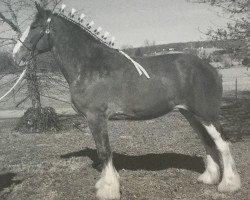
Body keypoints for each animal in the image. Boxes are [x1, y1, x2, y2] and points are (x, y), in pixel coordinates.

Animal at [12, 2, 241, 199]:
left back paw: (228, 184)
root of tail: (211, 68)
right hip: (190, 114)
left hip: (206, 114)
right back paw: (208, 178)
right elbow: (104, 151)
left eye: (34, 26)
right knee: (207, 142)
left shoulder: (96, 117)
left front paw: (108, 189)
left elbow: (104, 151)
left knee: (222, 144)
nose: (16, 55)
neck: (89, 64)